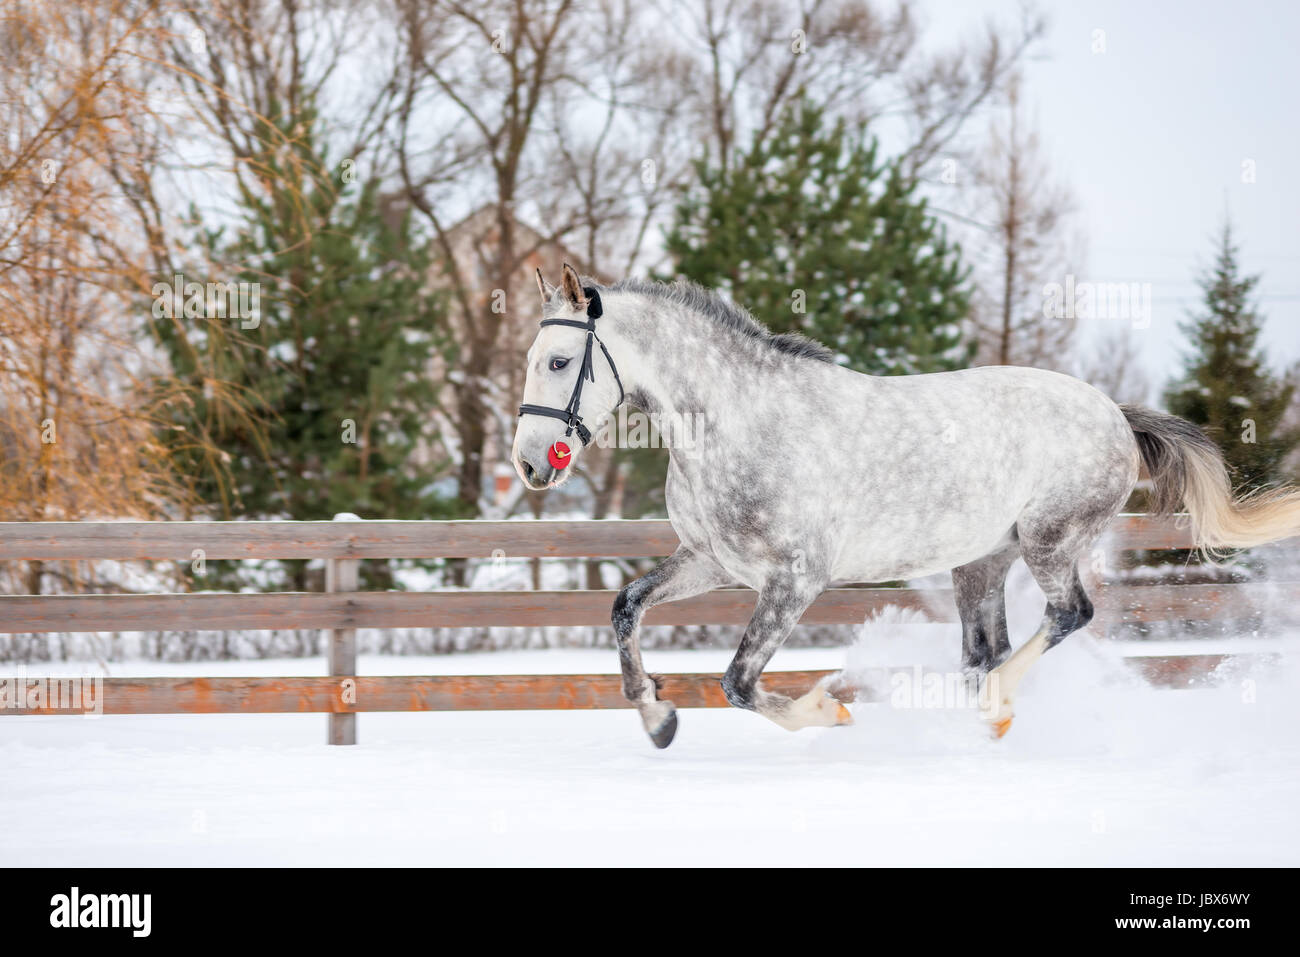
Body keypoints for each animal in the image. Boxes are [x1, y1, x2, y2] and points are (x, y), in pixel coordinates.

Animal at [512, 263, 1300, 749]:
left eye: (558, 361)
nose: (527, 462)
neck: (739, 422)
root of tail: (1113, 412)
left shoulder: (795, 578)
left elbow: (739, 682)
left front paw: (830, 709)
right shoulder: (713, 562)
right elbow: (626, 607)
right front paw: (658, 719)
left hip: (1049, 540)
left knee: (1066, 616)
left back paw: (997, 707)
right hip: (983, 560)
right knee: (985, 650)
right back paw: (983, 727)